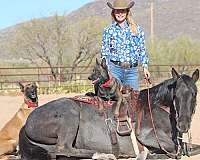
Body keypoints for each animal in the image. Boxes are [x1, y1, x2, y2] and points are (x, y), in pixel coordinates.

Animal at [18, 68, 198, 159]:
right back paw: (103, 154)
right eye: (176, 95)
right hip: (70, 113)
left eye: (195, 93)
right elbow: (175, 149)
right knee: (63, 149)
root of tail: (27, 123)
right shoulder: (147, 136)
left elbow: (189, 147)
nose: (183, 124)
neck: (155, 107)